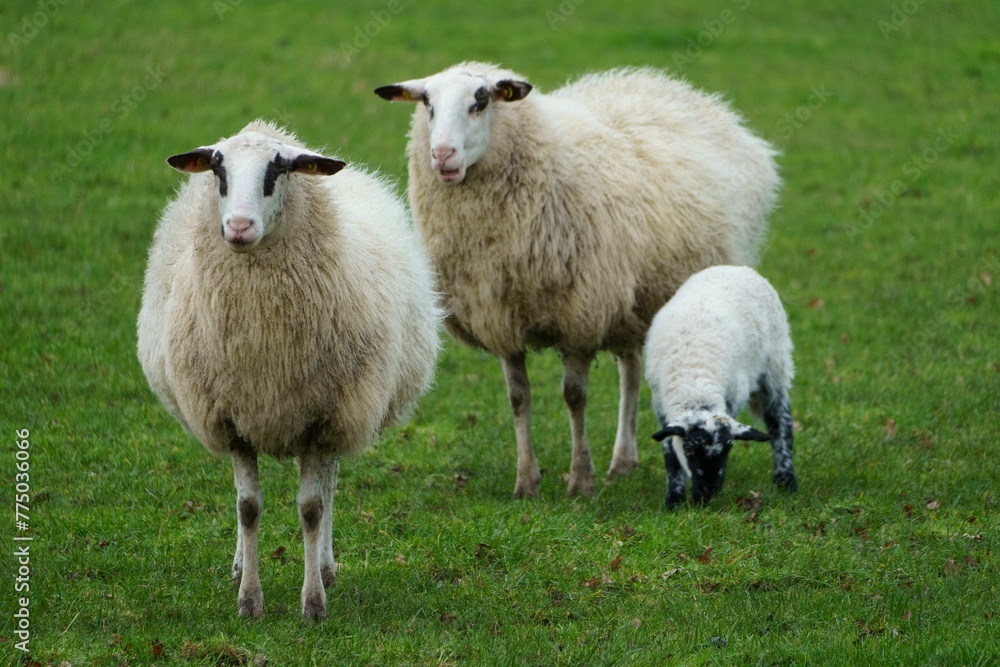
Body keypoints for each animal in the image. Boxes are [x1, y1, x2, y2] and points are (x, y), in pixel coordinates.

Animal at [137, 118, 442, 620]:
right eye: (217, 169)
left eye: (278, 169)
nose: (239, 227)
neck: (263, 346)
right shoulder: (232, 419)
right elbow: (248, 507)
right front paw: (249, 600)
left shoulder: (323, 419)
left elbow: (312, 508)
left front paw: (313, 602)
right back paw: (241, 563)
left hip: (344, 410)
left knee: (330, 485)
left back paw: (327, 566)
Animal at [376, 62, 780, 498]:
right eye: (427, 104)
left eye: (480, 101)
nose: (442, 155)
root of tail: (678, 90)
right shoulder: (501, 319)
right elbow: (518, 398)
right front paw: (526, 481)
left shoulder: (582, 315)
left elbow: (574, 397)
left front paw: (581, 479)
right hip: (630, 300)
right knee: (631, 370)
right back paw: (623, 462)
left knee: (631, 377)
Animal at [644, 264, 800, 508]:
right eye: (690, 449)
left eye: (729, 448)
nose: (709, 489)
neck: (695, 381)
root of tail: (735, 267)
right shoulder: (660, 404)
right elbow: (670, 453)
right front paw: (674, 500)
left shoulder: (734, 395)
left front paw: (699, 501)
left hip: (776, 364)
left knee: (780, 419)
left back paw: (786, 479)